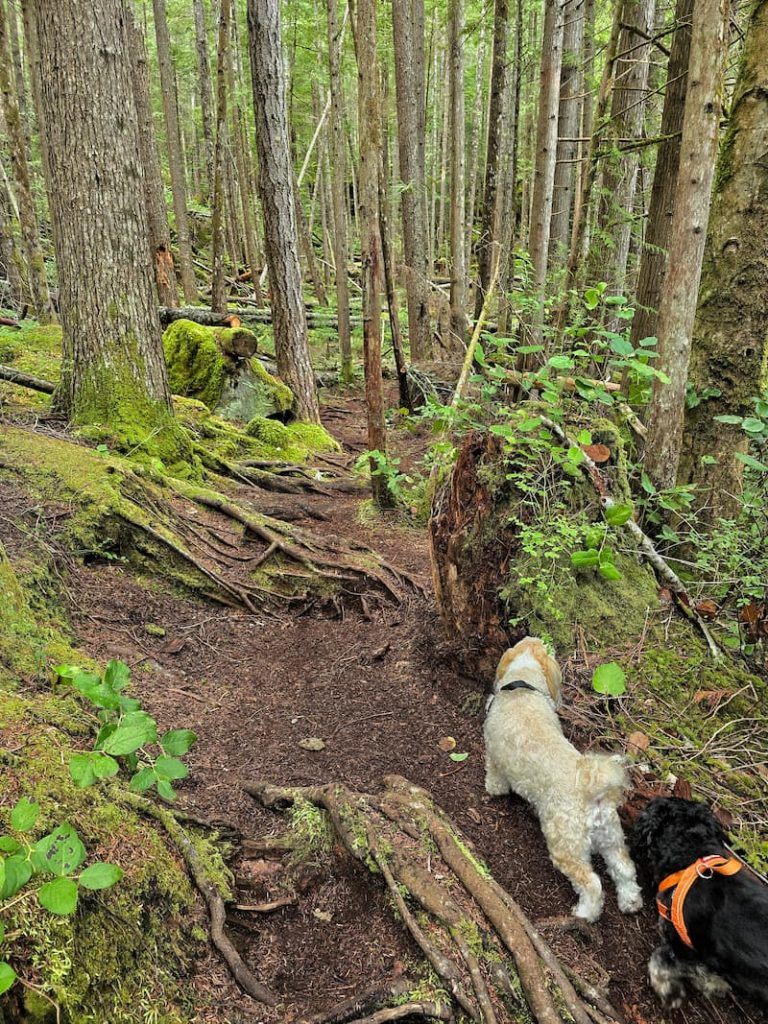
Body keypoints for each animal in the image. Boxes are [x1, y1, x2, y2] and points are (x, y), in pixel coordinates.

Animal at [487, 634, 643, 925]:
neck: (523, 685)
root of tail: (591, 790)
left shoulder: (493, 752)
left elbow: (494, 777)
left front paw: (493, 789)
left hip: (566, 846)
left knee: (592, 883)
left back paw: (585, 913)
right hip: (611, 837)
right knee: (625, 869)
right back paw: (630, 902)